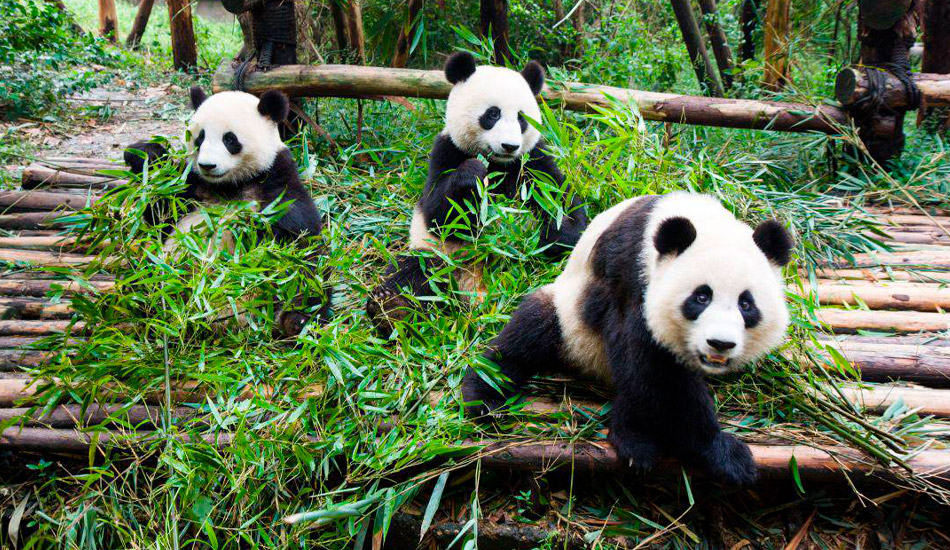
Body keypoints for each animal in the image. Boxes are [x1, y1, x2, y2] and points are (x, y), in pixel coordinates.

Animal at [124, 86, 329, 335]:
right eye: (200, 138)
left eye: (229, 139)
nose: (207, 165)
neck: (228, 186)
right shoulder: (191, 186)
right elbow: (160, 212)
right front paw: (144, 154)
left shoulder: (276, 182)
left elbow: (298, 242)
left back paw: (295, 322)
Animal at [366, 51, 589, 333]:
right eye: (492, 114)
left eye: (521, 118)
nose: (509, 145)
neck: (498, 163)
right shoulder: (446, 150)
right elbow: (437, 213)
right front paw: (472, 175)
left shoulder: (533, 161)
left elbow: (564, 205)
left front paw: (547, 233)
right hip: (441, 258)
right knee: (415, 271)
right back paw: (392, 308)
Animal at [461, 192, 793, 485]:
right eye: (701, 297)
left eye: (746, 304)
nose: (720, 344)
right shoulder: (631, 276)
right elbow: (654, 368)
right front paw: (724, 453)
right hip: (569, 320)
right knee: (527, 335)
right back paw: (484, 396)